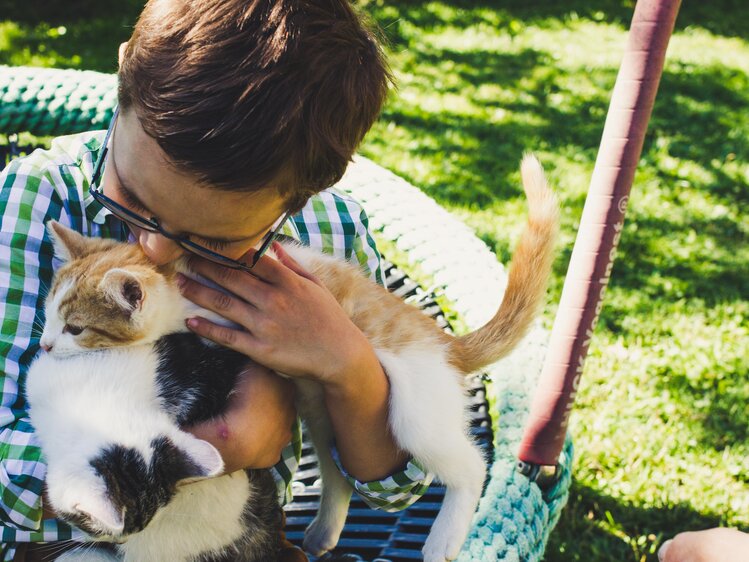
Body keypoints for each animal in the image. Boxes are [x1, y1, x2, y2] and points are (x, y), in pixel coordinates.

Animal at [30, 153, 556, 560]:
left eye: (76, 328)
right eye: (50, 315)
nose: (47, 345)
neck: (180, 284)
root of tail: (443, 341)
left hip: (415, 410)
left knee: (470, 466)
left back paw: (444, 537)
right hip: (321, 406)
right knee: (337, 469)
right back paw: (324, 530)